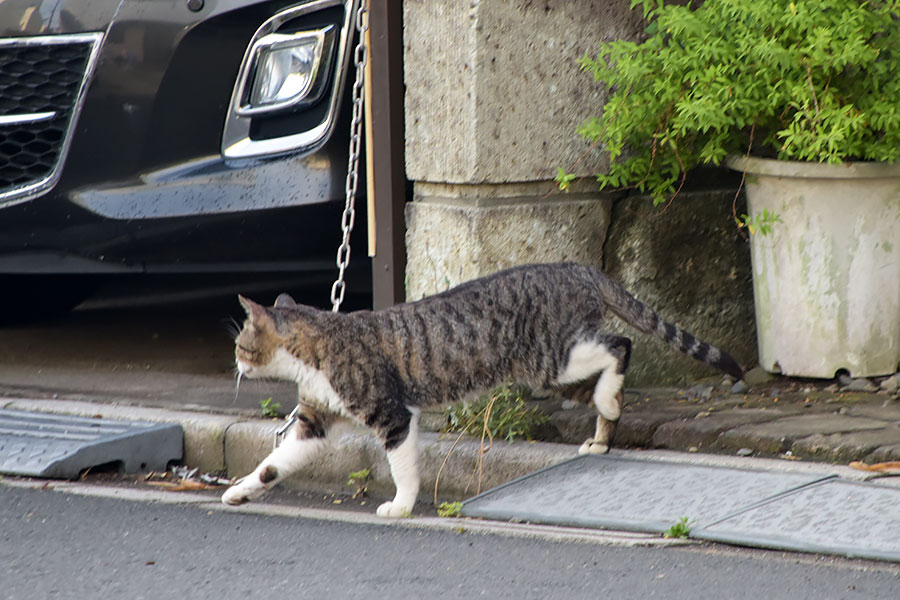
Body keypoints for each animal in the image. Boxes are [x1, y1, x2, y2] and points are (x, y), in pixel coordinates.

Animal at [221, 262, 740, 516]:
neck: (316, 349)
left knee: (620, 345)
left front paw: (402, 506)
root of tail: (577, 267)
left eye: (242, 343)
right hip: (558, 371)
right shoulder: (314, 422)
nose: (234, 362)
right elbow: (273, 464)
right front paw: (241, 492)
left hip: (552, 356)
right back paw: (602, 431)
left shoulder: (392, 413)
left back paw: (609, 403)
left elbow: (402, 466)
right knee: (602, 383)